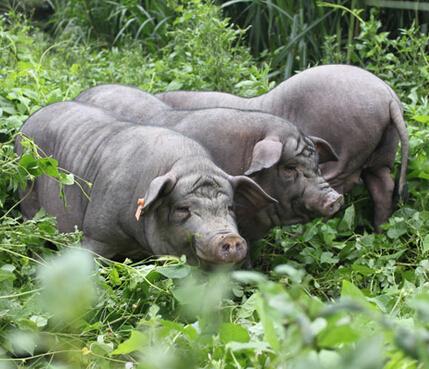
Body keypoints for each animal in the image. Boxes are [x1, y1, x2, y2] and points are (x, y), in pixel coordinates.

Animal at [16, 100, 276, 262]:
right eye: (183, 209)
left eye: (230, 207)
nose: (230, 238)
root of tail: (27, 123)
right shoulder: (96, 234)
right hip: (28, 195)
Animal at [156, 63, 408, 230]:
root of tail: (388, 96)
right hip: (383, 151)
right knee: (383, 185)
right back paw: (379, 230)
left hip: (345, 153)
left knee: (341, 186)